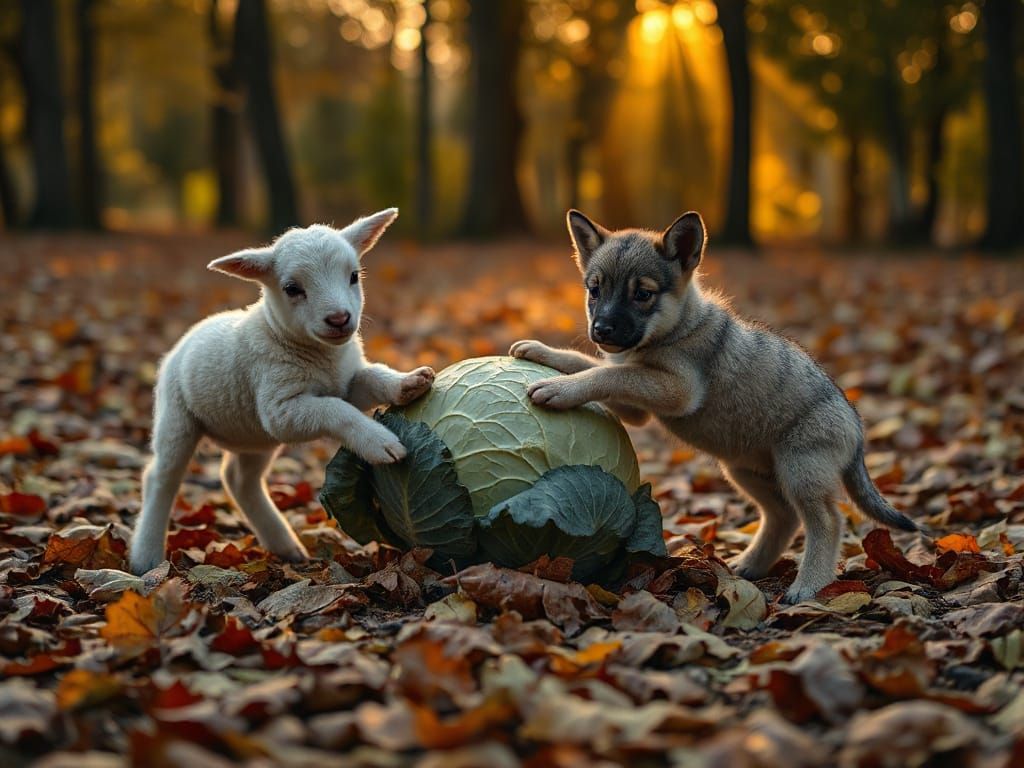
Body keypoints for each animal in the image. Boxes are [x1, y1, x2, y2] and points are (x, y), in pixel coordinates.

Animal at [129, 209, 434, 575]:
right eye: (292, 288)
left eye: (353, 276)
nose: (339, 319)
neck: (321, 357)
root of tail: (185, 338)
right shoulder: (280, 407)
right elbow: (337, 410)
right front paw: (379, 443)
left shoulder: (346, 383)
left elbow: (372, 379)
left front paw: (408, 383)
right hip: (177, 415)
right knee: (161, 476)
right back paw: (146, 556)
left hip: (254, 436)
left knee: (239, 480)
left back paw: (285, 545)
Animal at [511, 209, 916, 603]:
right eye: (594, 290)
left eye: (642, 294)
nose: (602, 330)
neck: (678, 327)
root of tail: (857, 427)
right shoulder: (638, 407)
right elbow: (592, 364)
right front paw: (543, 353)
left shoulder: (676, 389)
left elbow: (608, 374)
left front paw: (559, 388)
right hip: (746, 471)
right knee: (783, 517)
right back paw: (750, 564)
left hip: (800, 470)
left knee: (827, 522)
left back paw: (809, 585)